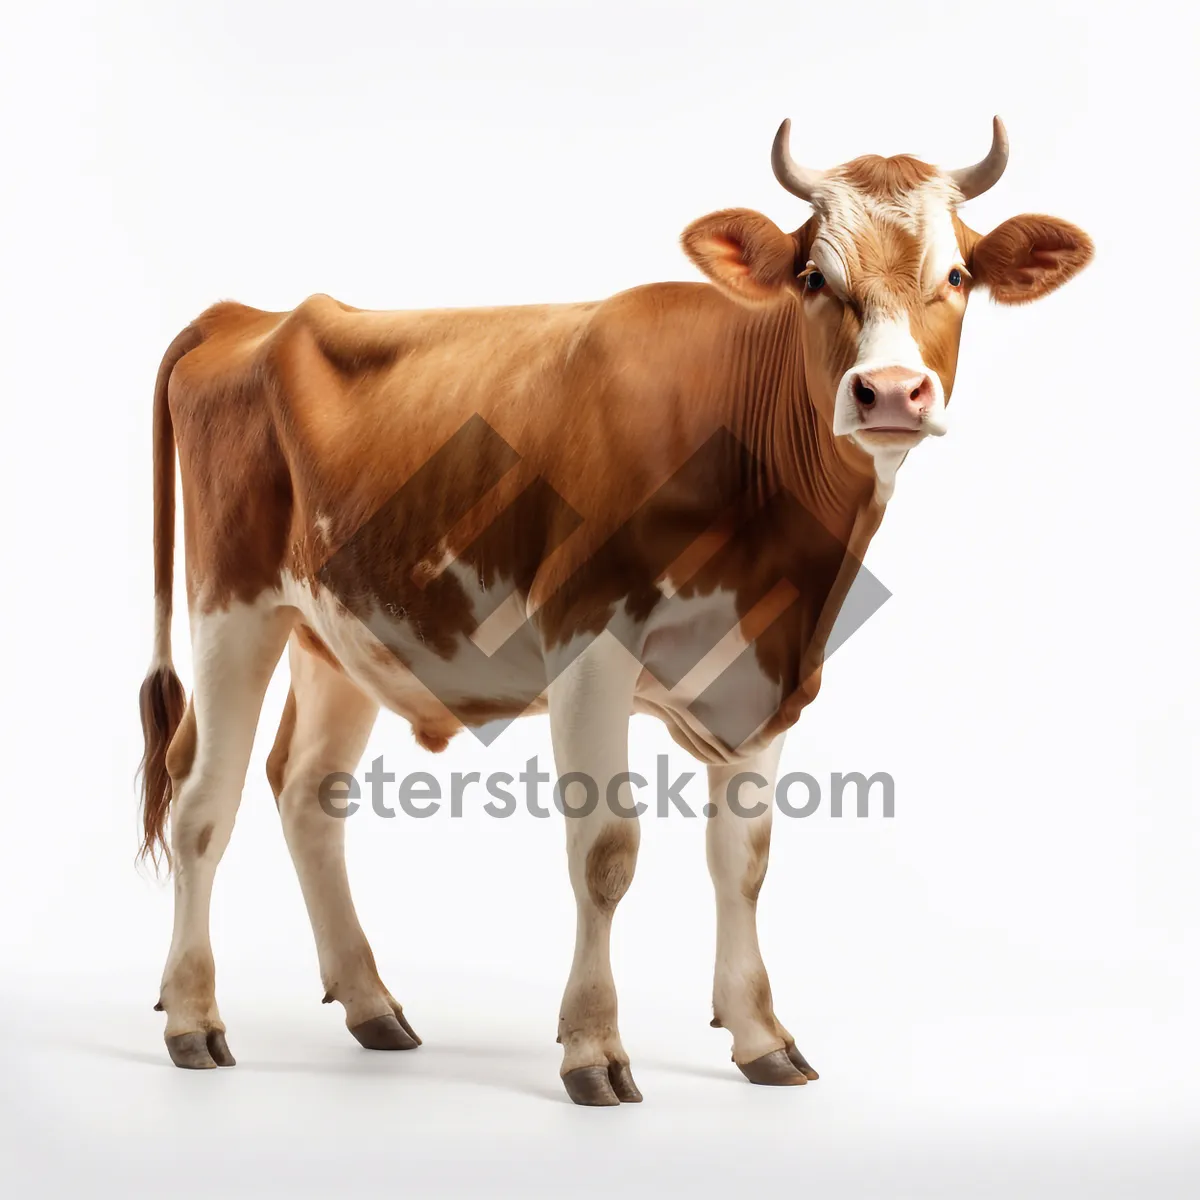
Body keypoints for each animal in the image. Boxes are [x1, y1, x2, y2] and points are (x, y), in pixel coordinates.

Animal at [136, 119, 1094, 1104]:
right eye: (813, 278)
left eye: (956, 276)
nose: (892, 391)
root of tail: (249, 316)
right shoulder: (587, 643)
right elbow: (605, 852)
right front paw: (594, 1047)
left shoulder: (766, 667)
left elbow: (743, 861)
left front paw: (761, 1036)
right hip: (232, 608)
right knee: (202, 799)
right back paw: (193, 1019)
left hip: (342, 633)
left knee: (306, 790)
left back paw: (371, 1005)